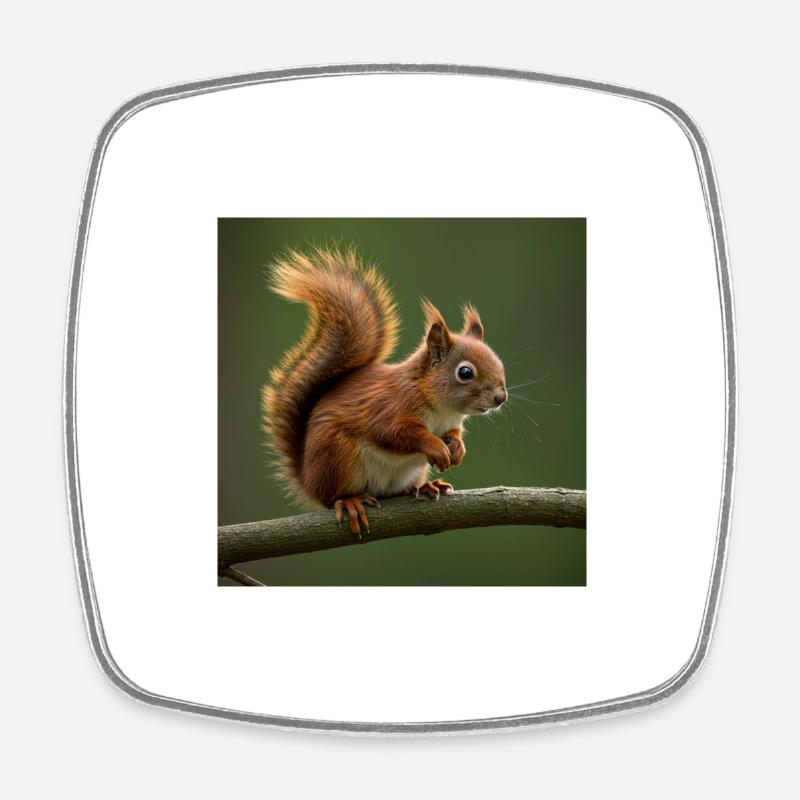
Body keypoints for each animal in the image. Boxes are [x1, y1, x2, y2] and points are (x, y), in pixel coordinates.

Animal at [261, 245, 508, 536]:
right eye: (465, 372)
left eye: (500, 364)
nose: (500, 397)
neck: (441, 407)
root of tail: (308, 479)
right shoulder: (390, 407)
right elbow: (394, 432)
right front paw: (435, 447)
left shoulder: (452, 423)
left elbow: (454, 434)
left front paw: (457, 448)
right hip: (337, 456)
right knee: (332, 497)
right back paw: (351, 501)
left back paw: (424, 487)